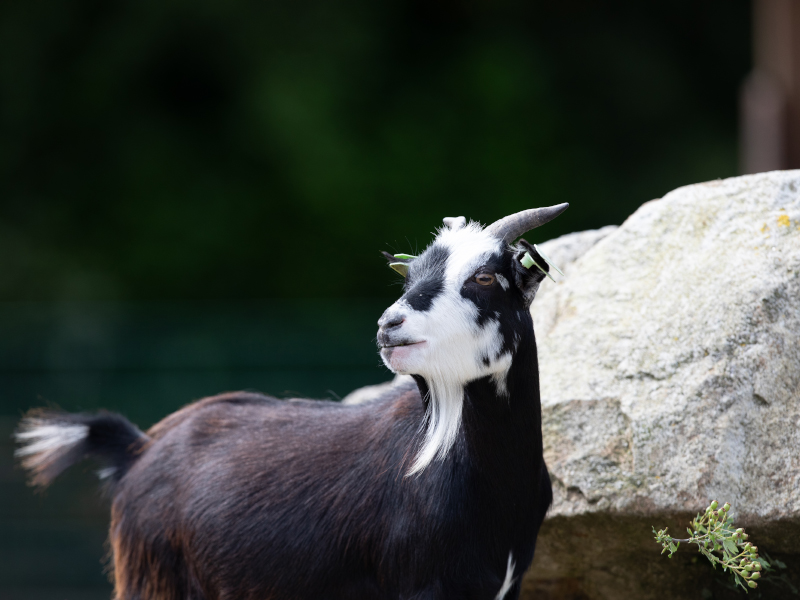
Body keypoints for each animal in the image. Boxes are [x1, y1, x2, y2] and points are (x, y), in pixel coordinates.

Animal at [17, 205, 568, 600]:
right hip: (153, 579)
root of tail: (139, 449)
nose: (389, 325)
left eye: (484, 277)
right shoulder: (422, 586)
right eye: (409, 277)